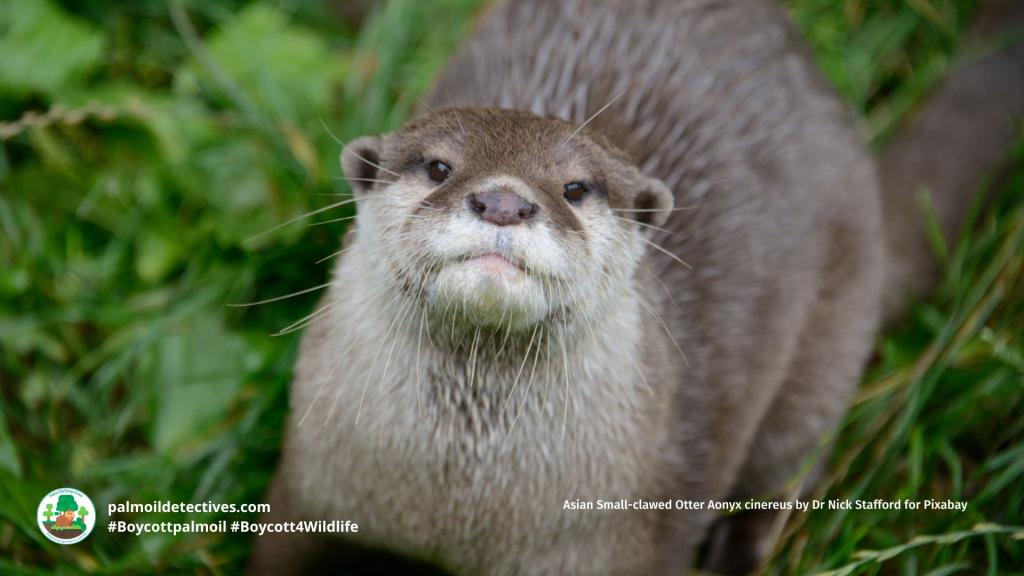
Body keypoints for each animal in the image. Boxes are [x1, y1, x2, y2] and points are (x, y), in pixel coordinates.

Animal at [249, 1, 1024, 574]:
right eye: (439, 166)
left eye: (575, 187)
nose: (504, 202)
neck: (460, 513)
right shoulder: (310, 490)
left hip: (830, 338)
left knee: (786, 470)